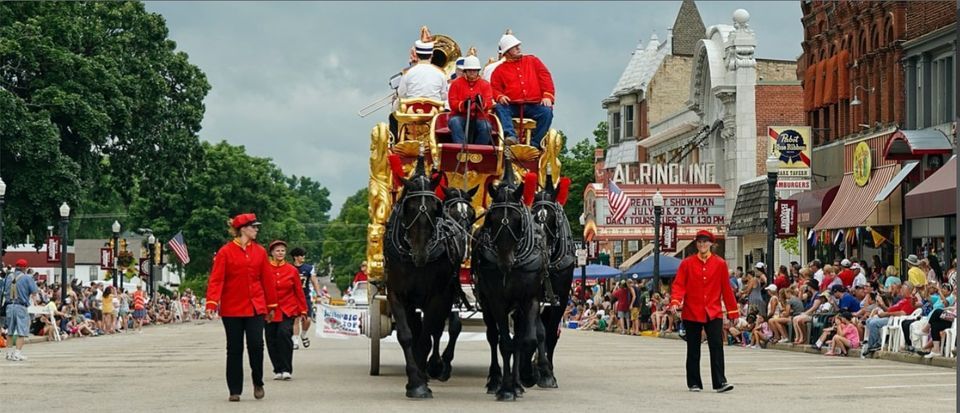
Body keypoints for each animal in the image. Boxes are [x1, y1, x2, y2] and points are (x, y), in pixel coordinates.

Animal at [382, 154, 464, 396]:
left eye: (435, 208)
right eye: (408, 207)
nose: (420, 254)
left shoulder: (437, 296)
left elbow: (427, 338)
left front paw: (421, 380)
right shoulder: (398, 295)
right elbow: (407, 335)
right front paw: (414, 380)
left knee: (437, 331)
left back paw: (435, 366)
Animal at [470, 159, 548, 400]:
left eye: (517, 220)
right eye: (491, 219)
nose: (505, 262)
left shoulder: (529, 299)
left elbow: (526, 341)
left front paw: (525, 377)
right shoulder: (497, 301)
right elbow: (505, 343)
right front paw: (505, 388)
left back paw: (518, 383)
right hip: (487, 304)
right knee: (493, 337)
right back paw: (496, 380)